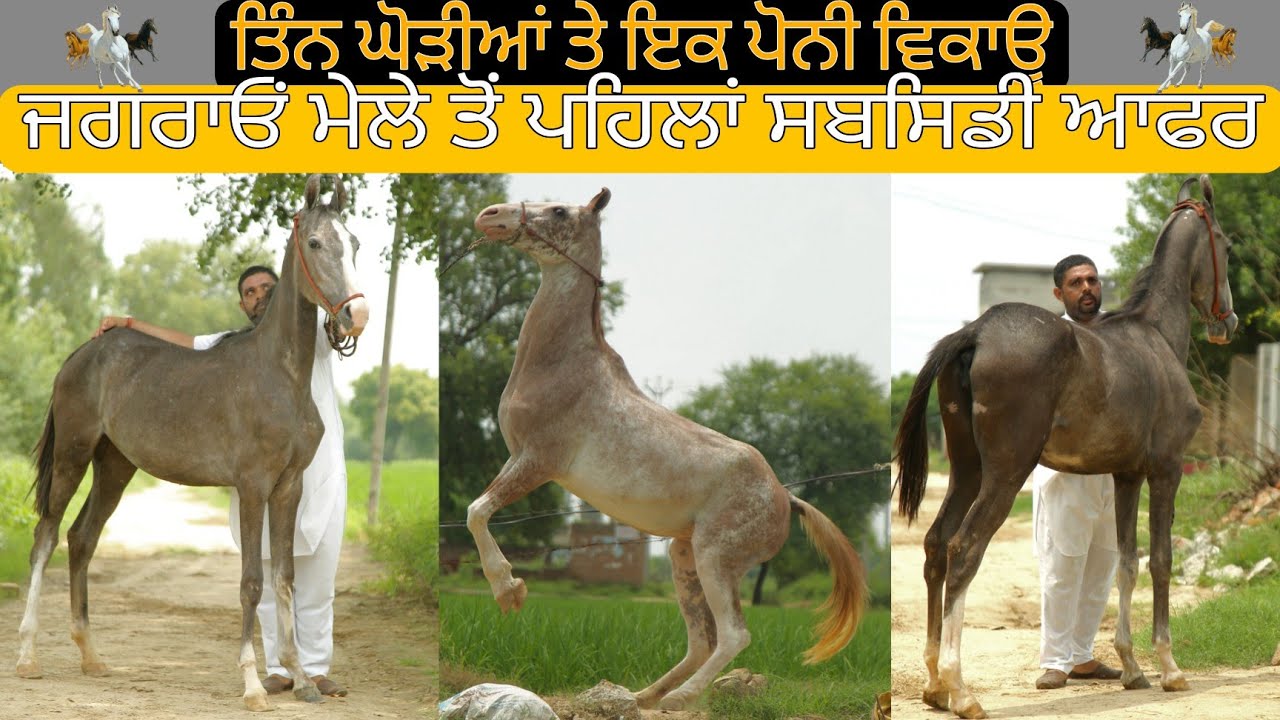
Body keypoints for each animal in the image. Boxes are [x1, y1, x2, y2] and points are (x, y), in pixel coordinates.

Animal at [17, 175, 370, 712]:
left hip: (115, 466)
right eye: (315, 243)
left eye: (353, 242)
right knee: (46, 537)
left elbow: (285, 577)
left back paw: (92, 657)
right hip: (72, 455)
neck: (281, 375)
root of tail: (84, 351)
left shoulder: (288, 487)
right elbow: (252, 582)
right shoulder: (253, 486)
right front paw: (253, 686)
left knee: (82, 538)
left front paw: (302, 679)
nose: (357, 314)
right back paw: (28, 657)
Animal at [465, 190, 868, 711]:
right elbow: (479, 510)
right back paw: (644, 696)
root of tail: (787, 499)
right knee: (701, 641)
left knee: (733, 636)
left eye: (558, 211)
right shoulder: (522, 459)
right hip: (684, 556)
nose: (490, 215)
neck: (563, 365)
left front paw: (509, 591)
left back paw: (679, 698)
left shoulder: (538, 460)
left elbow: (477, 511)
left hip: (717, 558)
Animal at [894, 175, 1237, 719]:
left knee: (934, 545)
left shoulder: (1127, 476)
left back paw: (933, 686)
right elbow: (1161, 561)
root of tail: (975, 330)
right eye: (1225, 246)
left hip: (969, 470)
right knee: (963, 549)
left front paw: (1132, 668)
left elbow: (1127, 563)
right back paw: (961, 690)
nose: (1229, 321)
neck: (1155, 337)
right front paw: (1170, 669)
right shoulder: (1167, 470)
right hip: (1005, 474)